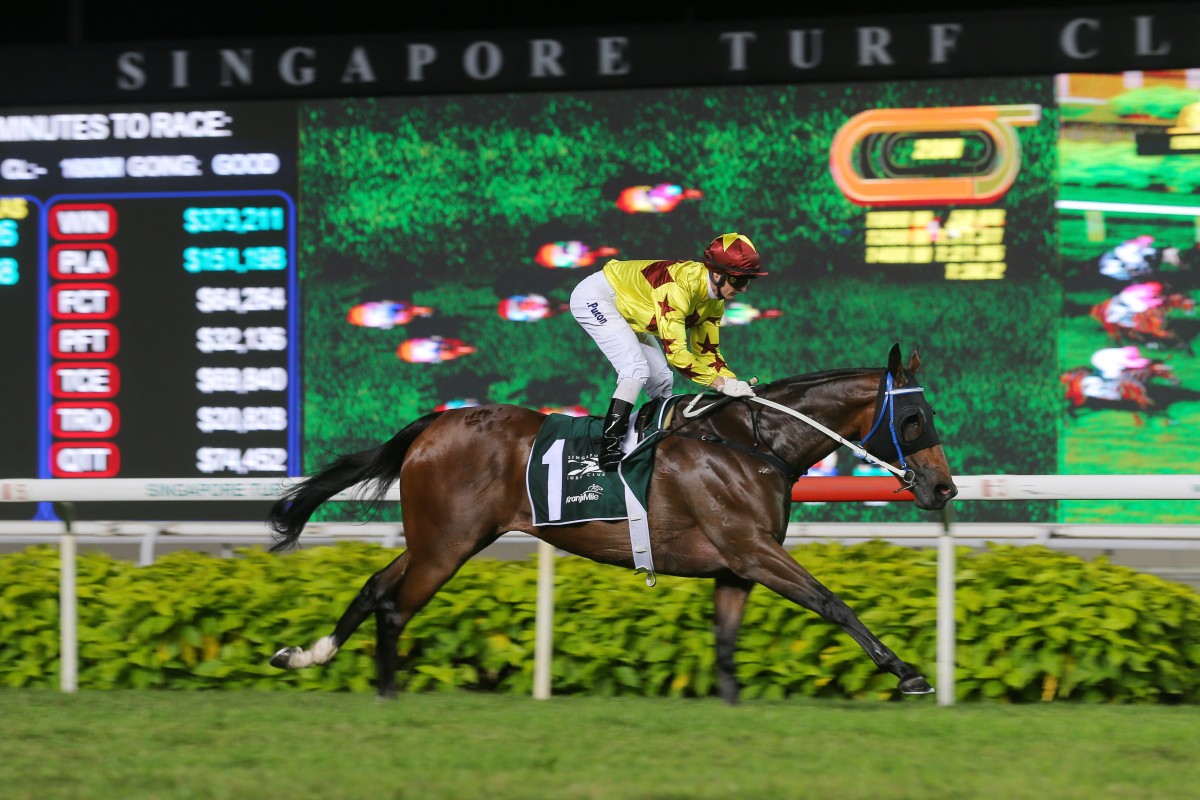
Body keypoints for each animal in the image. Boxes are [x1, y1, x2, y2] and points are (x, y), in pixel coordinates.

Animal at [270, 343, 955, 700]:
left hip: (440, 538)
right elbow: (832, 603)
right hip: (447, 544)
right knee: (393, 606)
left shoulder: (736, 567)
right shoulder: (752, 549)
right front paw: (908, 673)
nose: (944, 487)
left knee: (374, 587)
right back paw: (385, 693)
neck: (750, 442)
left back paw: (305, 655)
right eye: (914, 420)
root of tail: (433, 424)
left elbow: (726, 644)